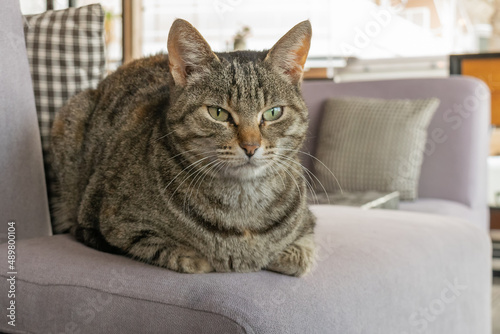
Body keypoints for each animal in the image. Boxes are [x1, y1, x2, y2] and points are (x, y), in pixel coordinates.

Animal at [50, 18, 316, 276]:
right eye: (218, 113)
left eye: (273, 112)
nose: (250, 146)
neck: (243, 204)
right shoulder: (116, 223)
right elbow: (175, 253)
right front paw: (199, 258)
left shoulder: (308, 226)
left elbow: (301, 253)